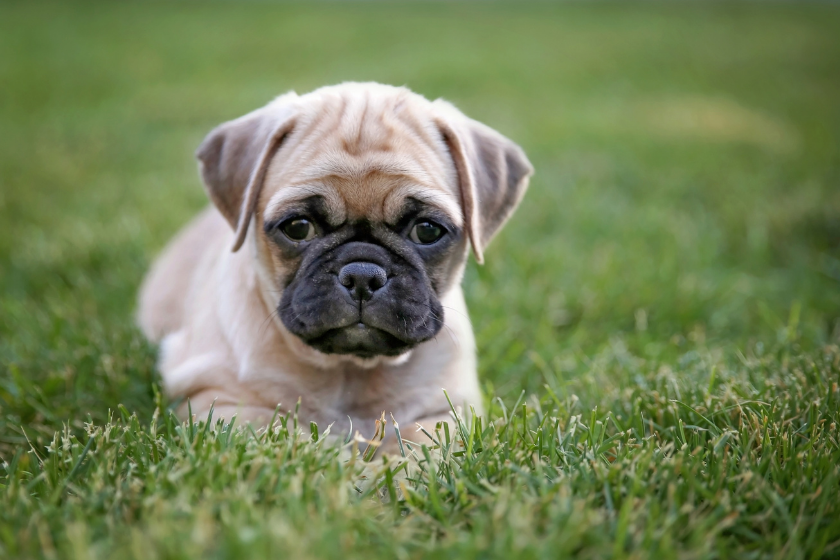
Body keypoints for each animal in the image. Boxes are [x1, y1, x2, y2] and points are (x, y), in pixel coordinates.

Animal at [138, 83, 532, 448]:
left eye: (427, 230)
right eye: (298, 227)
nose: (362, 275)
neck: (350, 370)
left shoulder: (447, 413)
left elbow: (417, 446)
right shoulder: (221, 402)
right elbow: (285, 436)